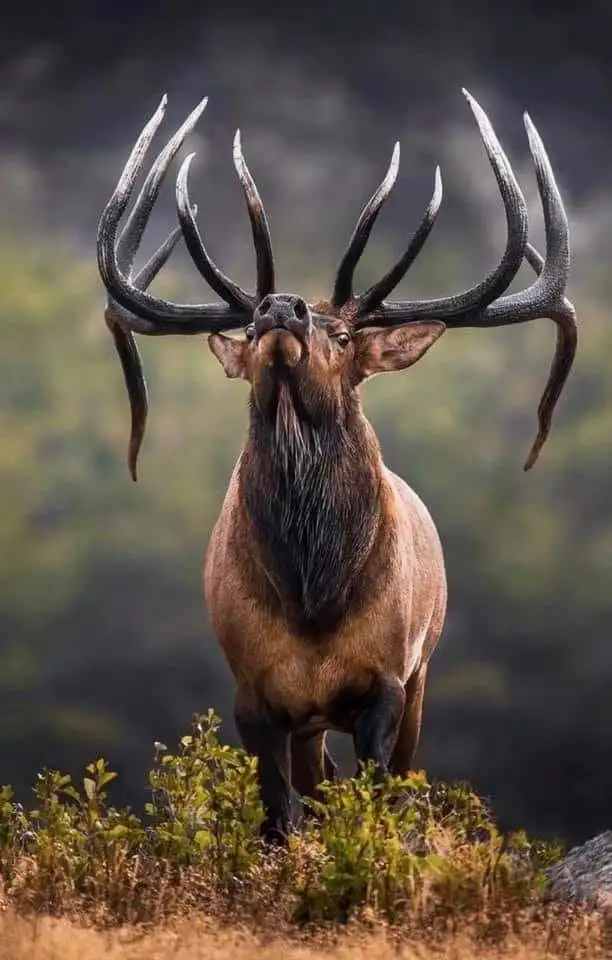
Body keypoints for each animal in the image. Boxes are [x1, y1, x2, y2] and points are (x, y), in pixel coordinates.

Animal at [97, 88, 580, 840]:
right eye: (252, 326)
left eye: (347, 333)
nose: (280, 306)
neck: (313, 595)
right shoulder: (253, 693)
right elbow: (278, 817)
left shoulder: (388, 678)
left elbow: (371, 800)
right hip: (310, 721)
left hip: (422, 675)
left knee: (398, 782)